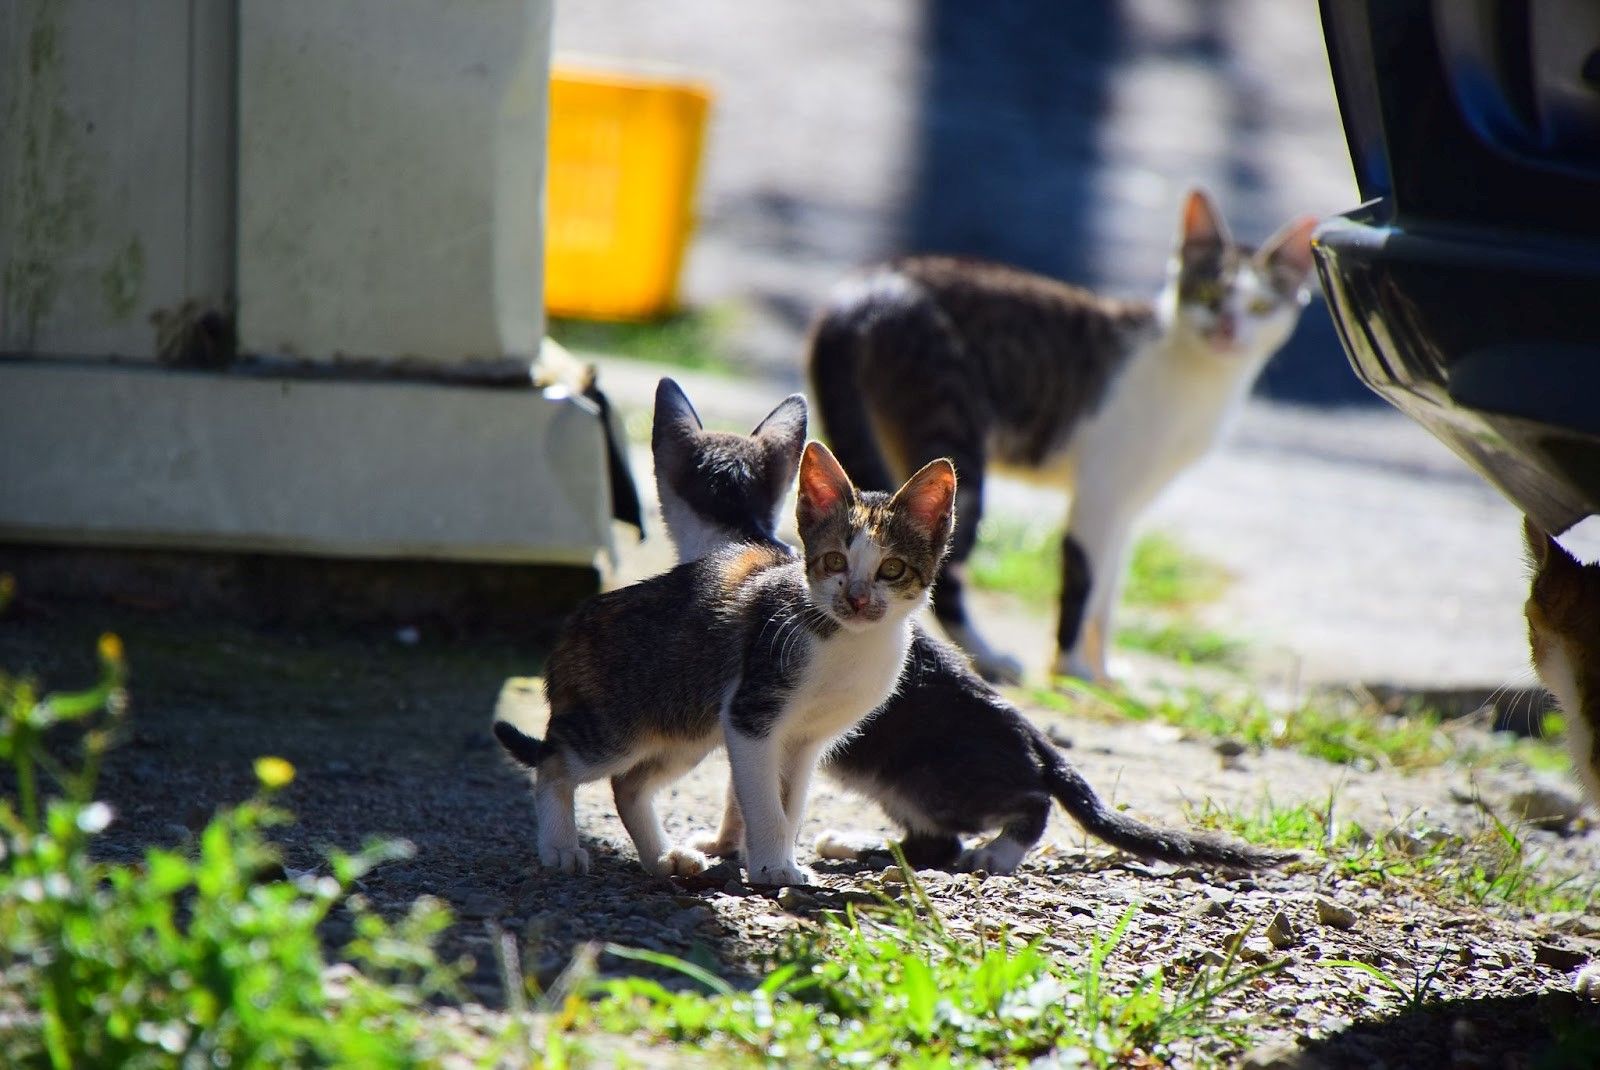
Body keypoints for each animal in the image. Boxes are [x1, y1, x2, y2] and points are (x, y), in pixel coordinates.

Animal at [492, 435, 953, 882]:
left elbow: (791, 804)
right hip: (617, 727)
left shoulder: (805, 740)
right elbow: (766, 804)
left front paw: (777, 858)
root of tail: (572, 627)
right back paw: (560, 848)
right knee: (554, 762)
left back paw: (662, 859)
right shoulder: (750, 715)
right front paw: (771, 867)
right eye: (834, 560)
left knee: (628, 784)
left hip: (687, 727)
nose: (856, 599)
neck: (850, 641)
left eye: (891, 569)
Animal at [636, 379, 1286, 870]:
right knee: (935, 842)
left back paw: (995, 853)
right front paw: (731, 844)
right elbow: (744, 788)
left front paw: (732, 845)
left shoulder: (757, 711)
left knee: (1024, 805)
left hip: (937, 780)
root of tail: (1030, 732)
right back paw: (853, 844)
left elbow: (744, 791)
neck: (740, 531)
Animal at [806, 187, 1318, 681]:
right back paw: (986, 657)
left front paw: (1103, 671)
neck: (1200, 378)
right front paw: (1071, 670)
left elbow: (1108, 595)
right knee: (943, 572)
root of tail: (861, 290)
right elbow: (1083, 584)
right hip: (954, 444)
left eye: (1260, 307)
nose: (1227, 329)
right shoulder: (1100, 497)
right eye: (1209, 291)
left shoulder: (1128, 507)